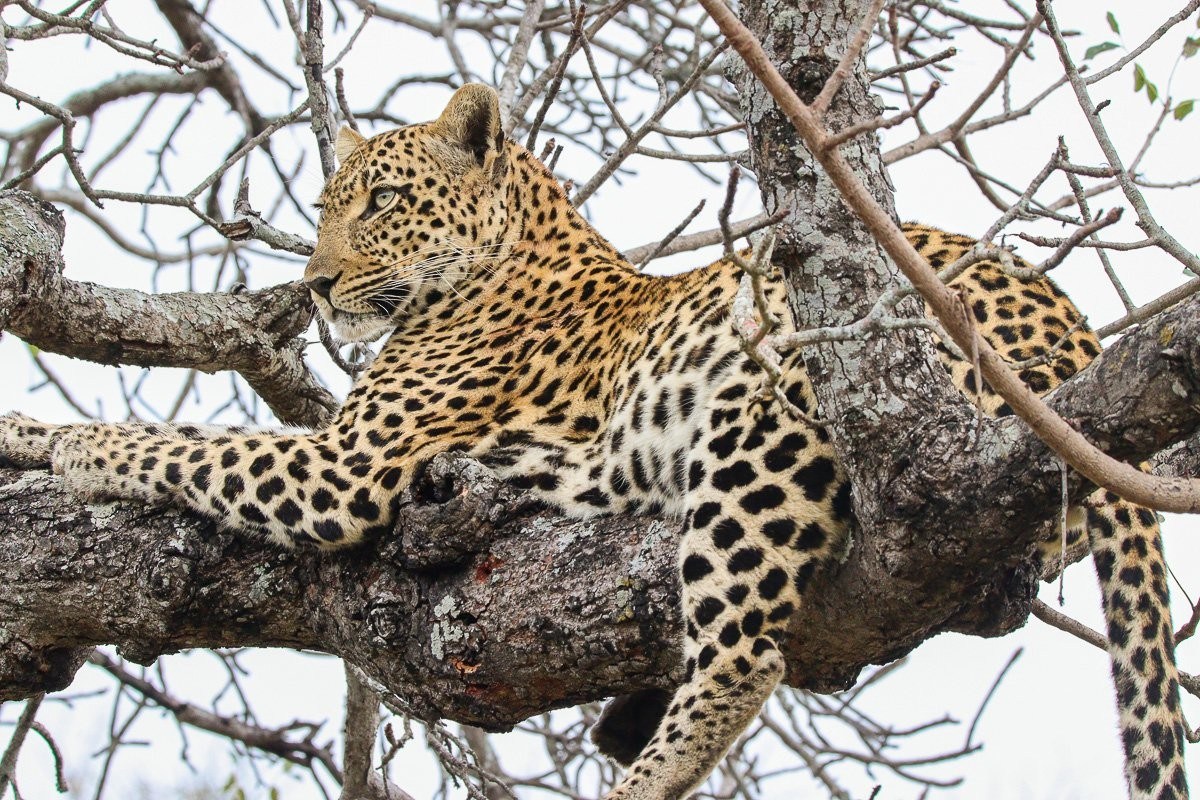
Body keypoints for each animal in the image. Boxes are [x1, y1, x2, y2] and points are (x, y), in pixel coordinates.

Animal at [0, 83, 1187, 799]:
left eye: (380, 201)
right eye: (327, 203)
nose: (317, 285)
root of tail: (1076, 329)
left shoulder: (343, 467)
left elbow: (177, 438)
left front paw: (58, 444)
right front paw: (29, 432)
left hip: (765, 407)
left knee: (745, 656)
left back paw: (634, 767)